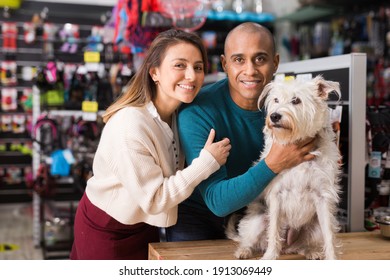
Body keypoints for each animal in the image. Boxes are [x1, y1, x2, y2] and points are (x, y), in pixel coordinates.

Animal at [225, 75, 342, 260]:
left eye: (296, 100)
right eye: (276, 100)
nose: (274, 116)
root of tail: (288, 247)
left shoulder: (323, 196)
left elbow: (329, 235)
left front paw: (332, 258)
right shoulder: (276, 196)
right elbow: (273, 231)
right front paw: (270, 256)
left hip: (314, 227)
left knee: (304, 245)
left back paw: (311, 251)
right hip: (258, 221)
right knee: (250, 240)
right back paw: (244, 251)